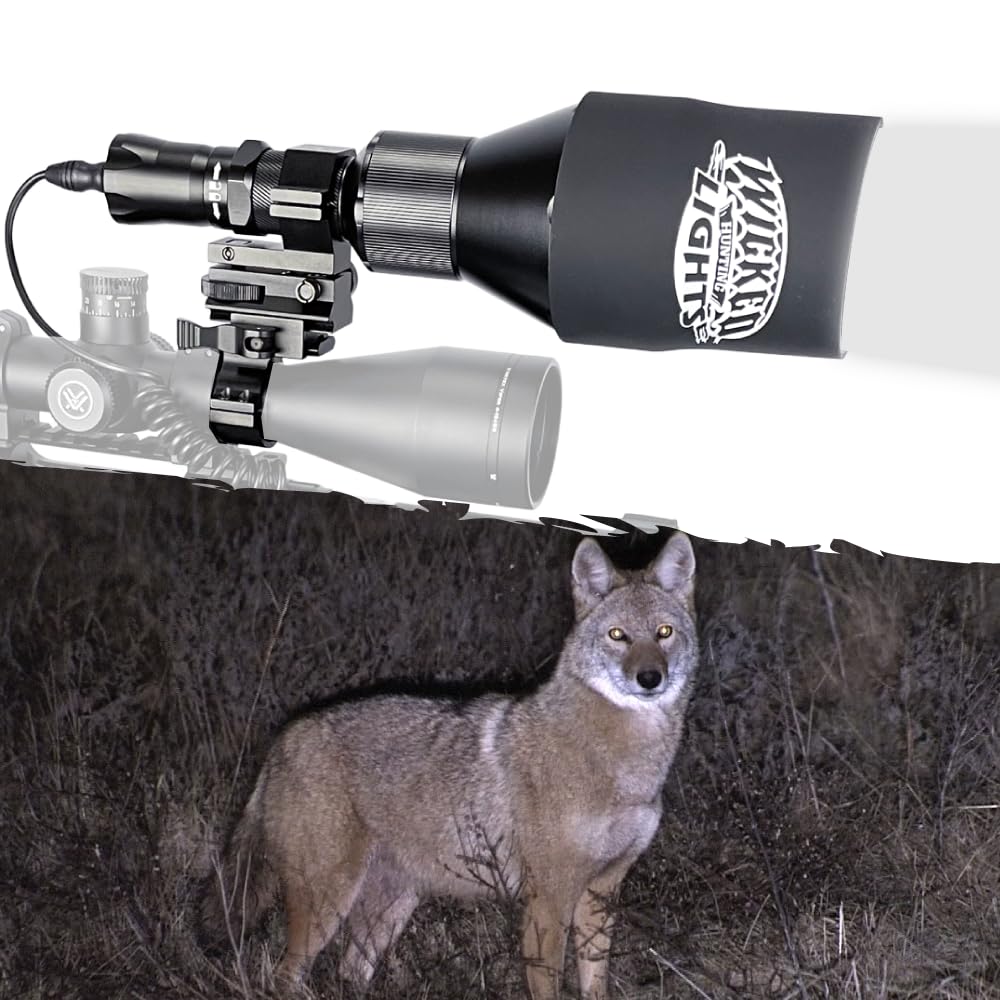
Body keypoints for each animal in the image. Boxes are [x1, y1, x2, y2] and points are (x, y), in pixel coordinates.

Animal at [199, 531, 698, 1000]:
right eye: (618, 636)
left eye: (664, 632)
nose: (650, 678)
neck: (625, 768)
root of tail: (283, 738)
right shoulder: (549, 900)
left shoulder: (601, 893)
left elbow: (596, 984)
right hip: (328, 903)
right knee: (285, 976)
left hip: (390, 909)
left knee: (350, 972)